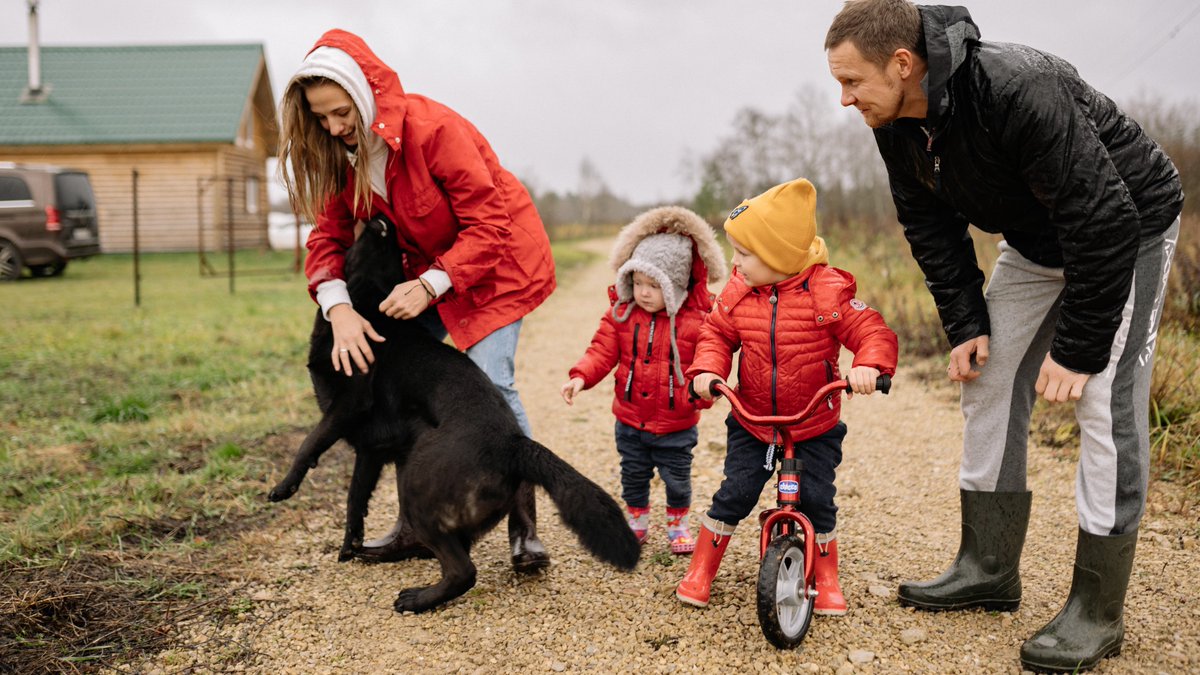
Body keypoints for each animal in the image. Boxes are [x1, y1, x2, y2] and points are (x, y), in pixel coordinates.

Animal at [267, 213, 643, 610]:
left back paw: (418, 599)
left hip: (417, 485)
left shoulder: (348, 404)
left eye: (382, 239)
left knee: (464, 571)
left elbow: (310, 442)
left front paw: (284, 486)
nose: (382, 218)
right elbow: (355, 499)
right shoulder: (370, 451)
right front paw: (349, 545)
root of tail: (511, 444)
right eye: (394, 248)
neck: (369, 304)